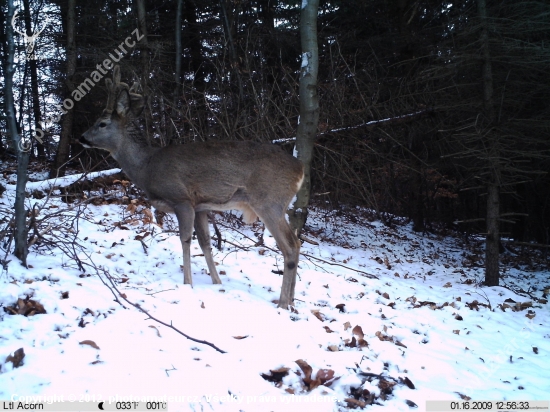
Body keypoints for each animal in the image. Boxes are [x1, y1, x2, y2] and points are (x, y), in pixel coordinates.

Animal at [81, 66, 306, 308]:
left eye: (102, 123)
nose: (82, 137)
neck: (146, 167)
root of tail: (300, 169)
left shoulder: (182, 199)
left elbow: (185, 239)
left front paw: (187, 283)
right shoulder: (201, 207)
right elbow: (205, 243)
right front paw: (217, 282)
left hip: (269, 202)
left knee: (290, 246)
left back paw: (283, 303)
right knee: (297, 243)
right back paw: (292, 301)